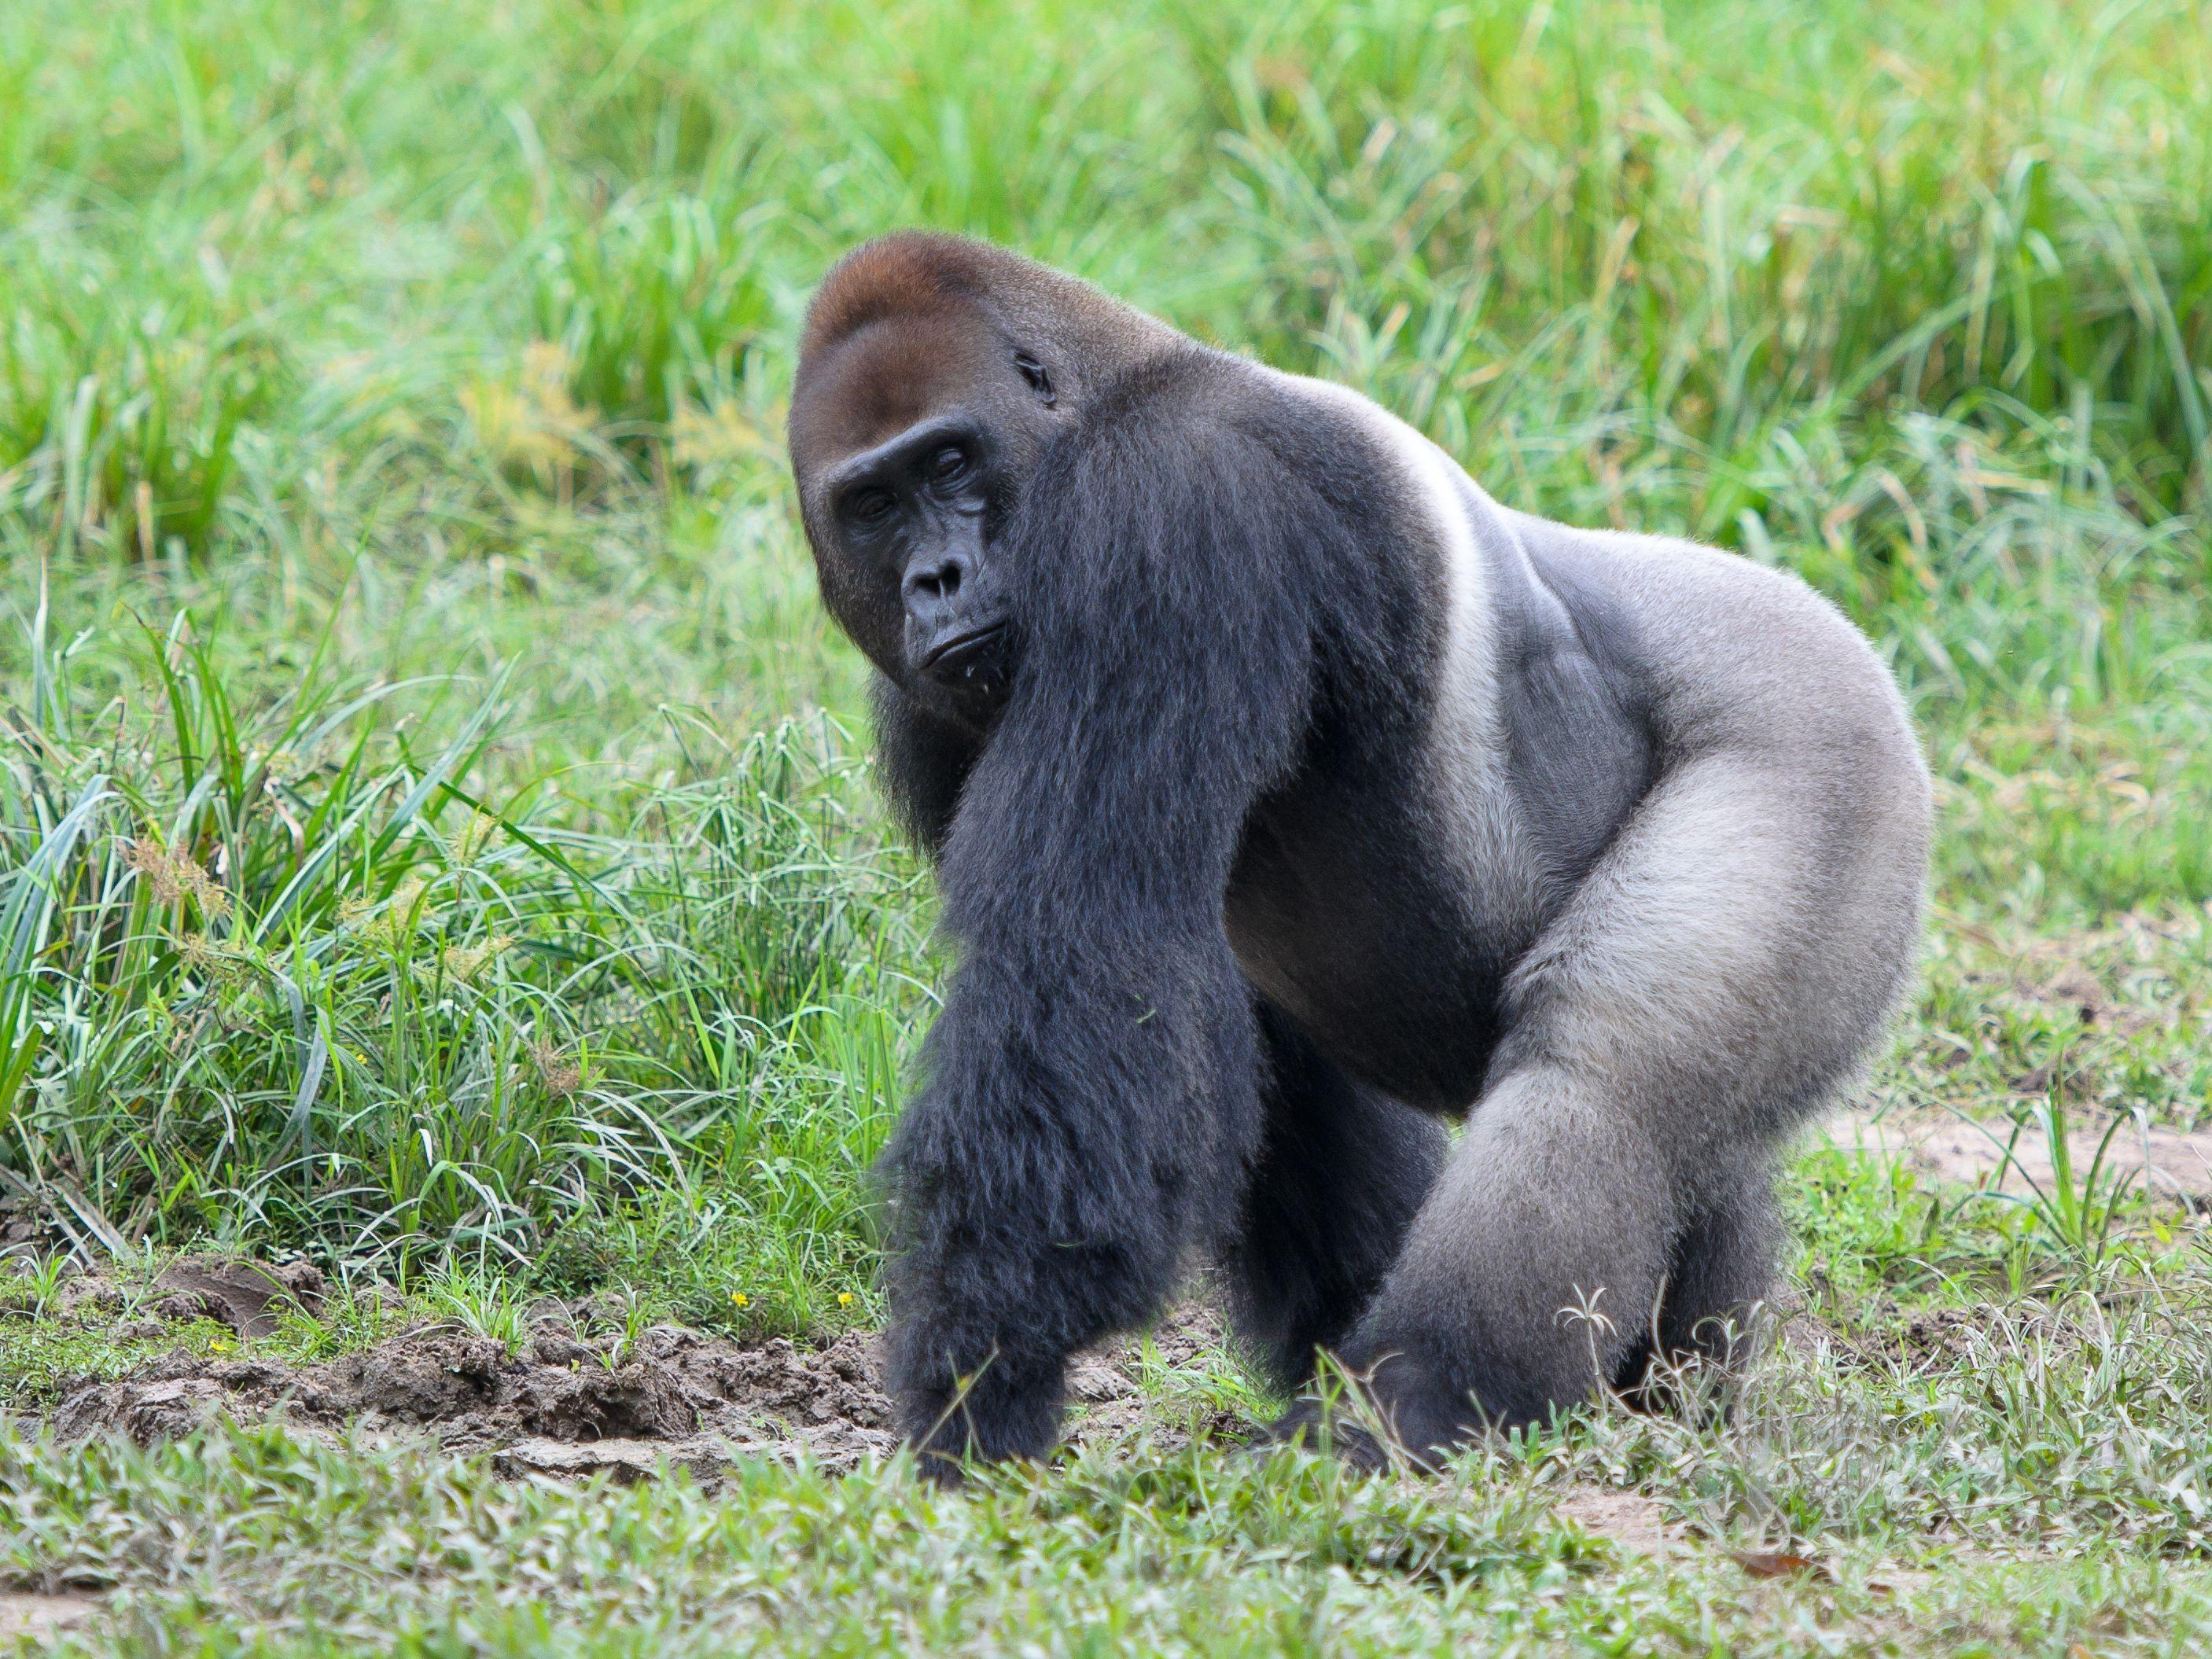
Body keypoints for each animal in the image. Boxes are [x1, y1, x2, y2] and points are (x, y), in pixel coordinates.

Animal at [787, 234, 1928, 1477]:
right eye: (873, 505)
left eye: (951, 462)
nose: (934, 579)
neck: (1113, 376)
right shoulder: (931, 712)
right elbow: (1242, 1043)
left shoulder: (1177, 492)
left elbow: (1089, 951)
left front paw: (981, 1376)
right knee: (1693, 1145)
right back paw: (1658, 1395)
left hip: (1820, 735)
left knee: (1602, 1076)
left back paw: (1417, 1397)